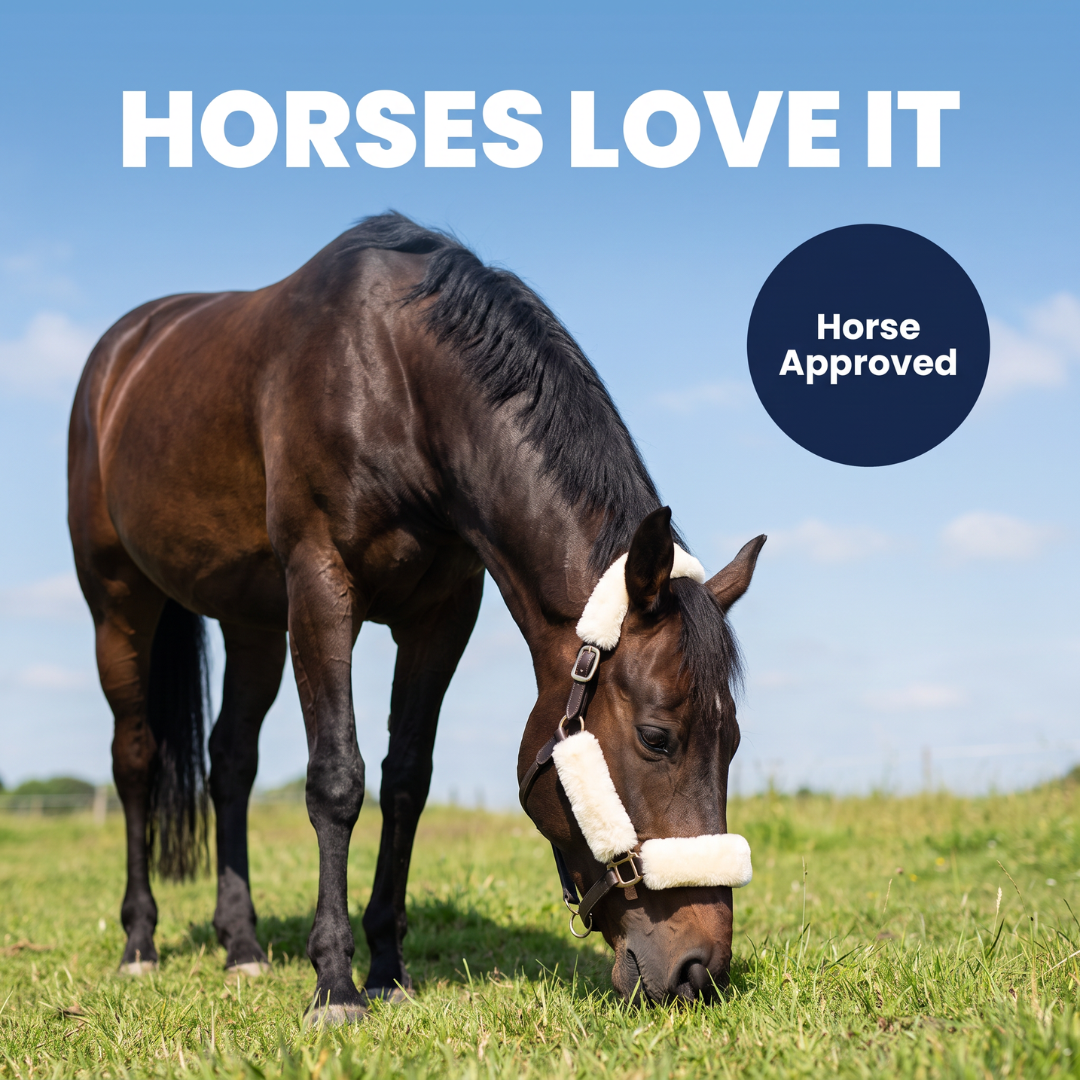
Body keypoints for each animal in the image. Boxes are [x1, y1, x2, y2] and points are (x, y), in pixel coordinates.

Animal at [67, 212, 765, 1021]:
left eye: (733, 741)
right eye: (658, 738)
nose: (699, 968)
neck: (398, 384)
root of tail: (123, 351)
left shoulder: (441, 616)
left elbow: (405, 781)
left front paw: (386, 966)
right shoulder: (320, 589)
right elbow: (337, 780)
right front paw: (335, 982)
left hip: (252, 624)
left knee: (230, 764)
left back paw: (241, 945)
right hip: (118, 606)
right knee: (136, 761)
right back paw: (139, 943)